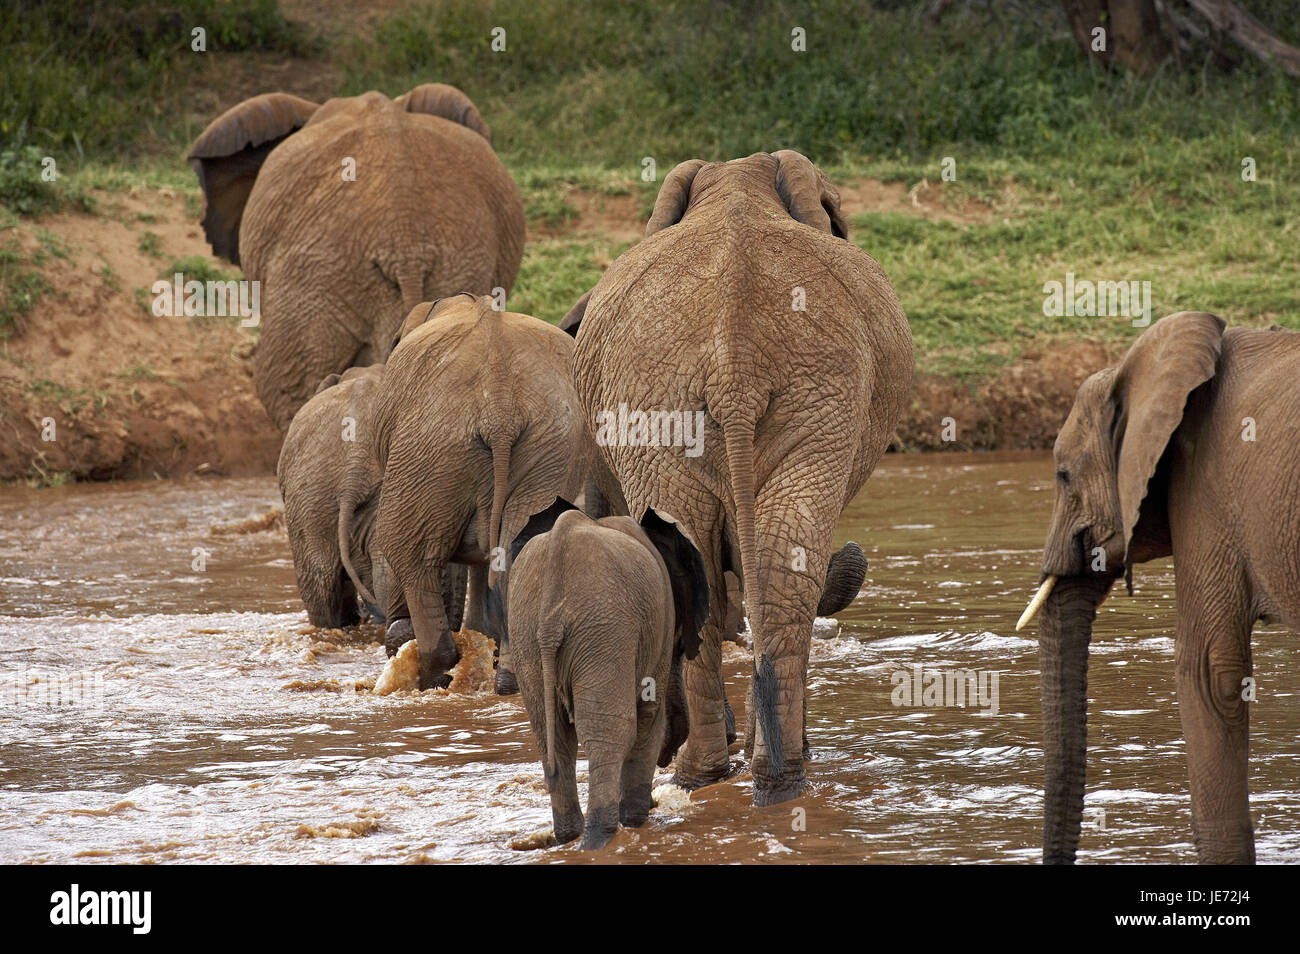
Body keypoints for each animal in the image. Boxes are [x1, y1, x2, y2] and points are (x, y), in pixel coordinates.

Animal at [340, 294, 605, 691]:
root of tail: (500, 406)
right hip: (552, 442)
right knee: (519, 541)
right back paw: (508, 680)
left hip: (432, 441)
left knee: (408, 549)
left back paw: (433, 671)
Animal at [504, 498, 709, 849]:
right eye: (680, 647)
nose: (668, 758)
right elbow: (649, 714)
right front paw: (638, 817)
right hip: (604, 630)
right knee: (610, 731)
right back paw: (600, 837)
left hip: (528, 632)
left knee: (552, 735)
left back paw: (570, 836)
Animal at [567, 151, 912, 804]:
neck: (738, 180)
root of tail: (735, 364)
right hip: (751, 401)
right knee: (772, 562)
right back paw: (752, 773)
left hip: (759, 398)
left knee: (733, 563)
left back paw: (736, 776)